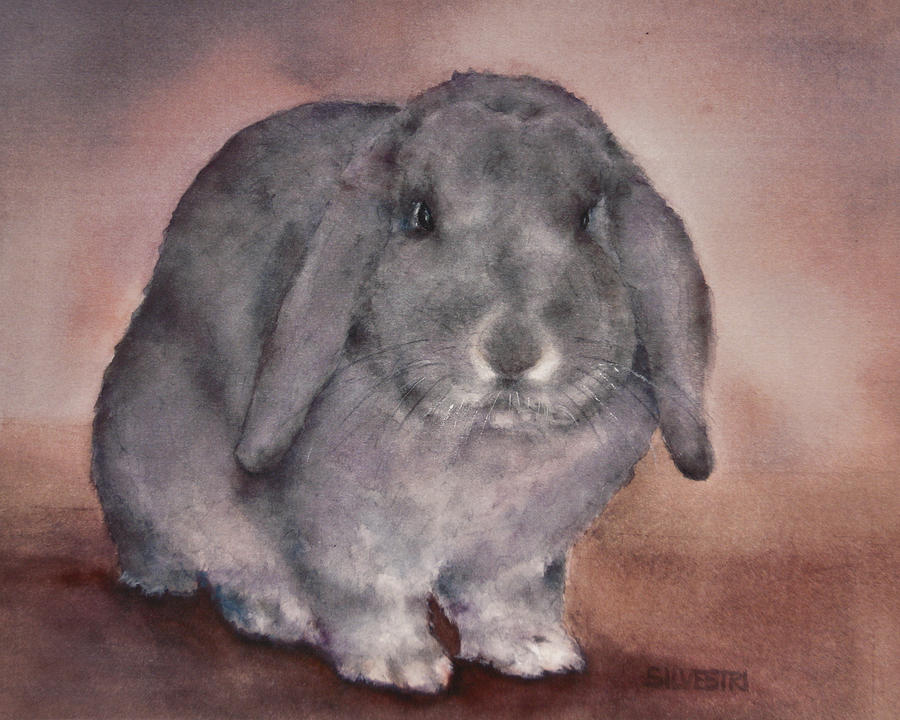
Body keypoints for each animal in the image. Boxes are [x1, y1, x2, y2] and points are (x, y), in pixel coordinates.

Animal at [92, 71, 714, 693]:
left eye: (586, 220)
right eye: (421, 216)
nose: (512, 352)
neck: (481, 441)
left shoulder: (519, 551)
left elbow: (508, 599)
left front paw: (537, 652)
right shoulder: (347, 535)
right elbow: (370, 596)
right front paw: (401, 667)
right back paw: (263, 609)